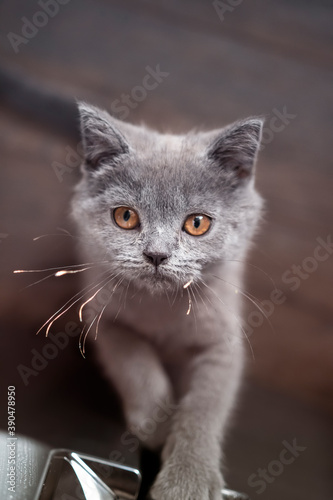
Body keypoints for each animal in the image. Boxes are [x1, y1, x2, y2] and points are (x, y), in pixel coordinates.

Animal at [71, 102, 264, 500]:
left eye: (197, 223)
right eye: (125, 216)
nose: (157, 255)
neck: (164, 308)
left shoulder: (222, 341)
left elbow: (205, 406)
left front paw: (187, 482)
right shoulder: (102, 315)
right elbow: (135, 363)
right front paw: (156, 425)